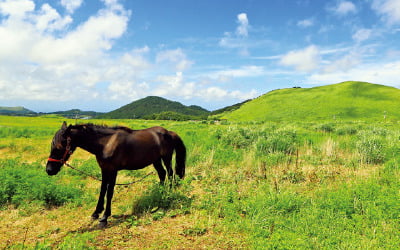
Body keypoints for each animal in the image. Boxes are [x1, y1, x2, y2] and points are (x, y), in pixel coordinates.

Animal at [46, 121, 187, 227]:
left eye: (59, 147)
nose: (49, 170)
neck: (106, 143)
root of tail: (169, 132)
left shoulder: (113, 170)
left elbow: (109, 192)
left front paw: (104, 217)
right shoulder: (104, 169)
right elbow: (102, 190)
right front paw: (96, 213)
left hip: (166, 158)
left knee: (170, 174)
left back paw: (168, 194)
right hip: (155, 160)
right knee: (162, 174)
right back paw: (160, 193)